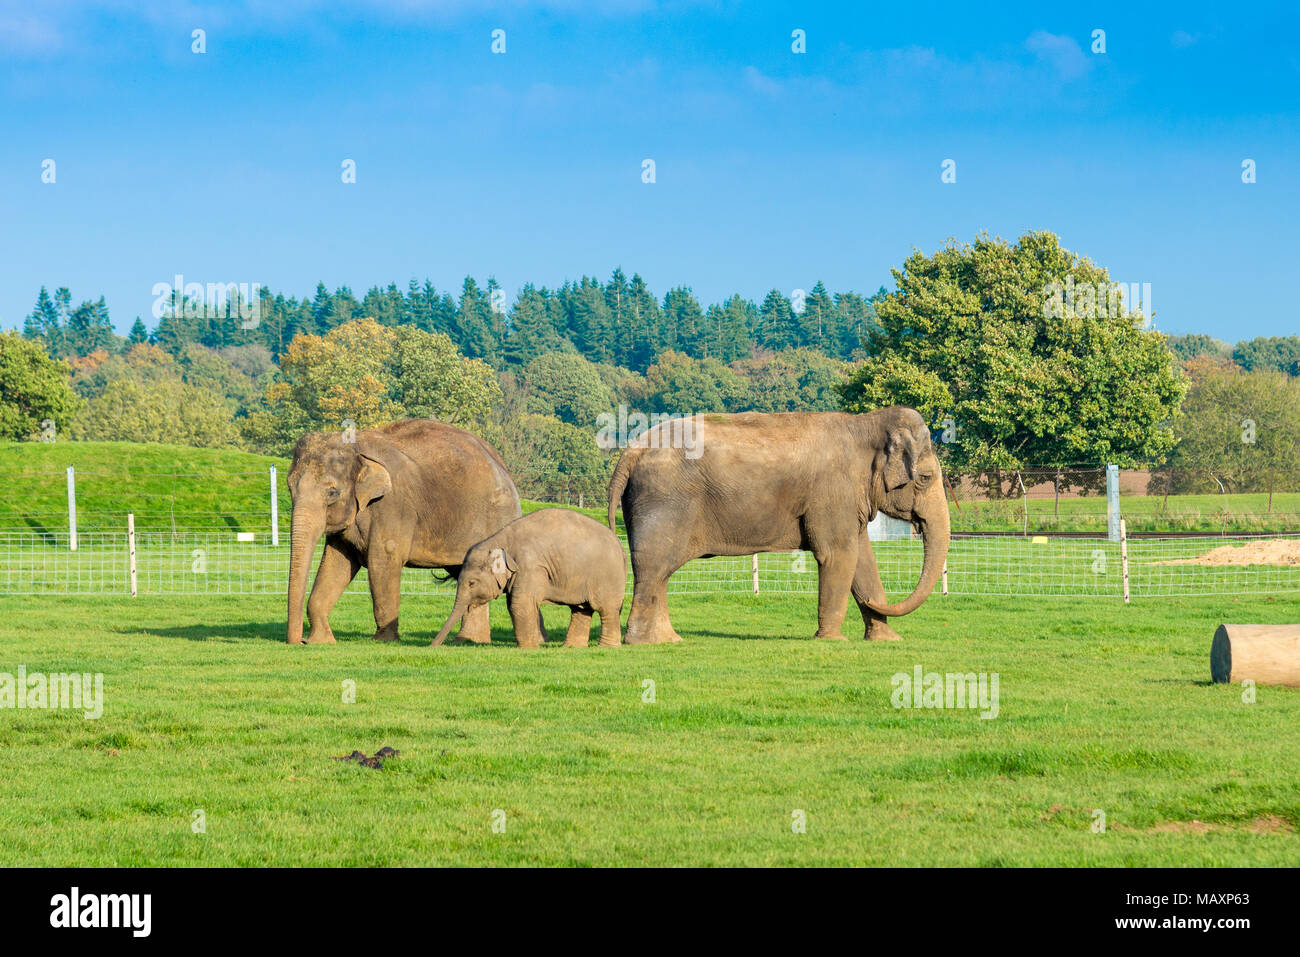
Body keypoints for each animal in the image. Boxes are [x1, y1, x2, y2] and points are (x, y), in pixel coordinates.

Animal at [287, 418, 520, 642]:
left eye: (332, 493)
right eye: (289, 487)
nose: (298, 642)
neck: (356, 445)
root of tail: (504, 467)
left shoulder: (392, 507)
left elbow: (382, 562)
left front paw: (383, 641)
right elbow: (336, 563)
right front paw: (321, 641)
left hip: (496, 520)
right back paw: (468, 641)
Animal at [431, 509, 624, 650]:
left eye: (472, 583)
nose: (433, 646)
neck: (500, 541)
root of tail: (619, 544)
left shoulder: (529, 566)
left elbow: (520, 603)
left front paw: (528, 649)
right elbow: (514, 603)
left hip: (607, 577)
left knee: (606, 609)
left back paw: (607, 647)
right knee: (580, 609)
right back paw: (571, 648)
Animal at [603, 408, 951, 647]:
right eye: (926, 478)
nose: (876, 605)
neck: (865, 423)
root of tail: (632, 451)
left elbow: (863, 559)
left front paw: (887, 640)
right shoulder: (831, 493)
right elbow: (838, 556)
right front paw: (831, 640)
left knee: (658, 574)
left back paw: (667, 640)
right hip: (664, 503)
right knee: (655, 569)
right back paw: (649, 642)